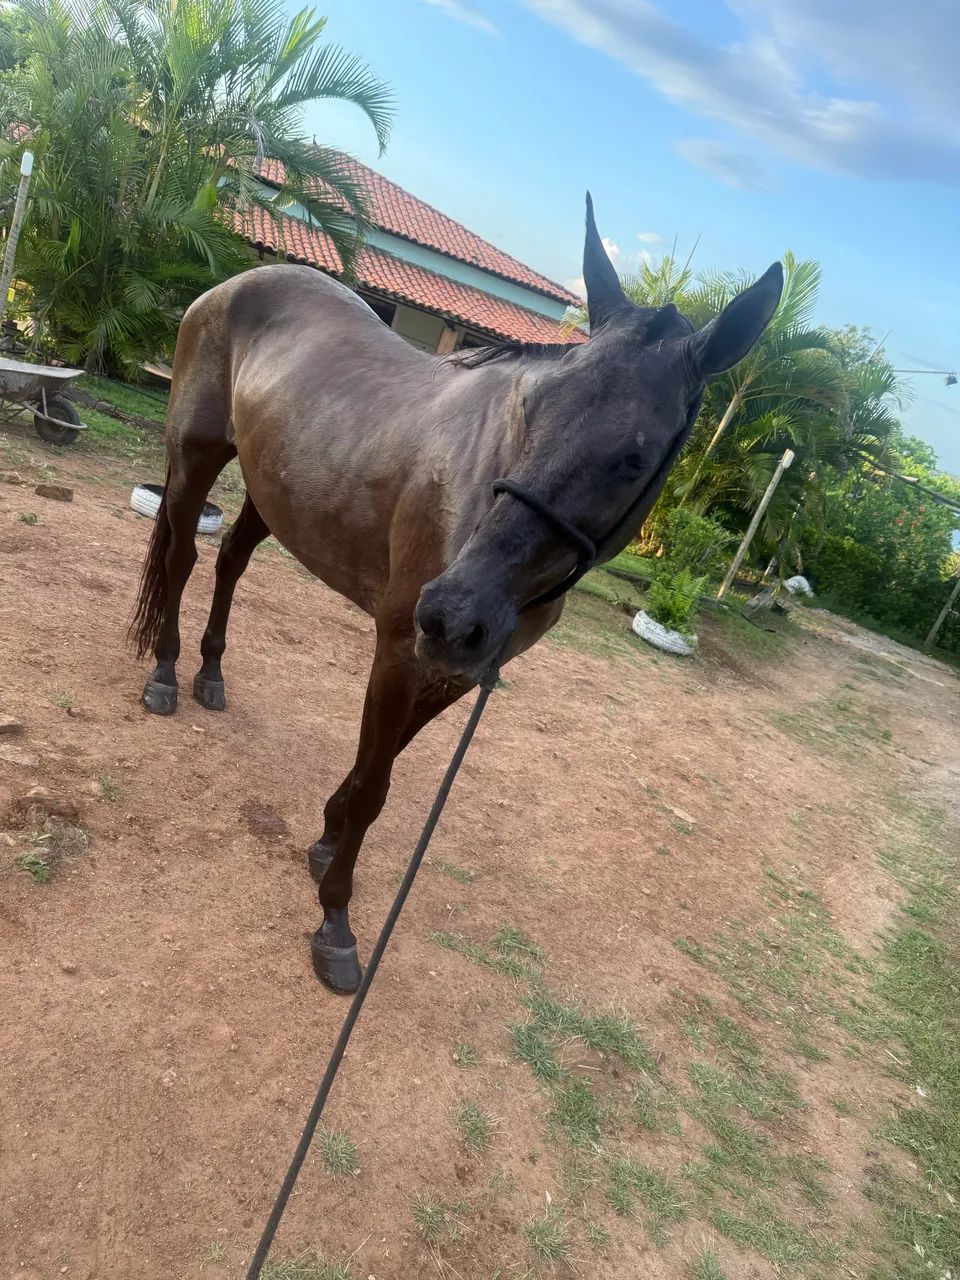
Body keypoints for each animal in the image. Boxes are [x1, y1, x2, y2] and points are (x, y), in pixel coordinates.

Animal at [130, 196, 783, 993]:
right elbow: (376, 785)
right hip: (196, 457)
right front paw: (336, 920)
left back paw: (211, 673)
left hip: (274, 487)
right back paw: (166, 674)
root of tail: (235, 283)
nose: (453, 610)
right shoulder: (404, 649)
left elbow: (377, 766)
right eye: (533, 407)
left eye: (634, 456)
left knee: (229, 563)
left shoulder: (460, 668)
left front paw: (326, 839)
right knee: (183, 559)